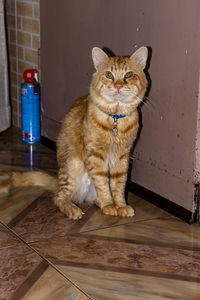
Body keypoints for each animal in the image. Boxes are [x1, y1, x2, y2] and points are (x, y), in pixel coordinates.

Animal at [0, 47, 148, 220]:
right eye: (109, 75)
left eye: (128, 75)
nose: (118, 85)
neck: (115, 119)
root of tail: (57, 180)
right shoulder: (96, 156)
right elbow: (103, 185)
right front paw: (109, 205)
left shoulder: (122, 157)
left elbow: (118, 186)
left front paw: (120, 205)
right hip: (73, 166)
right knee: (59, 197)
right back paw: (73, 209)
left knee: (90, 198)